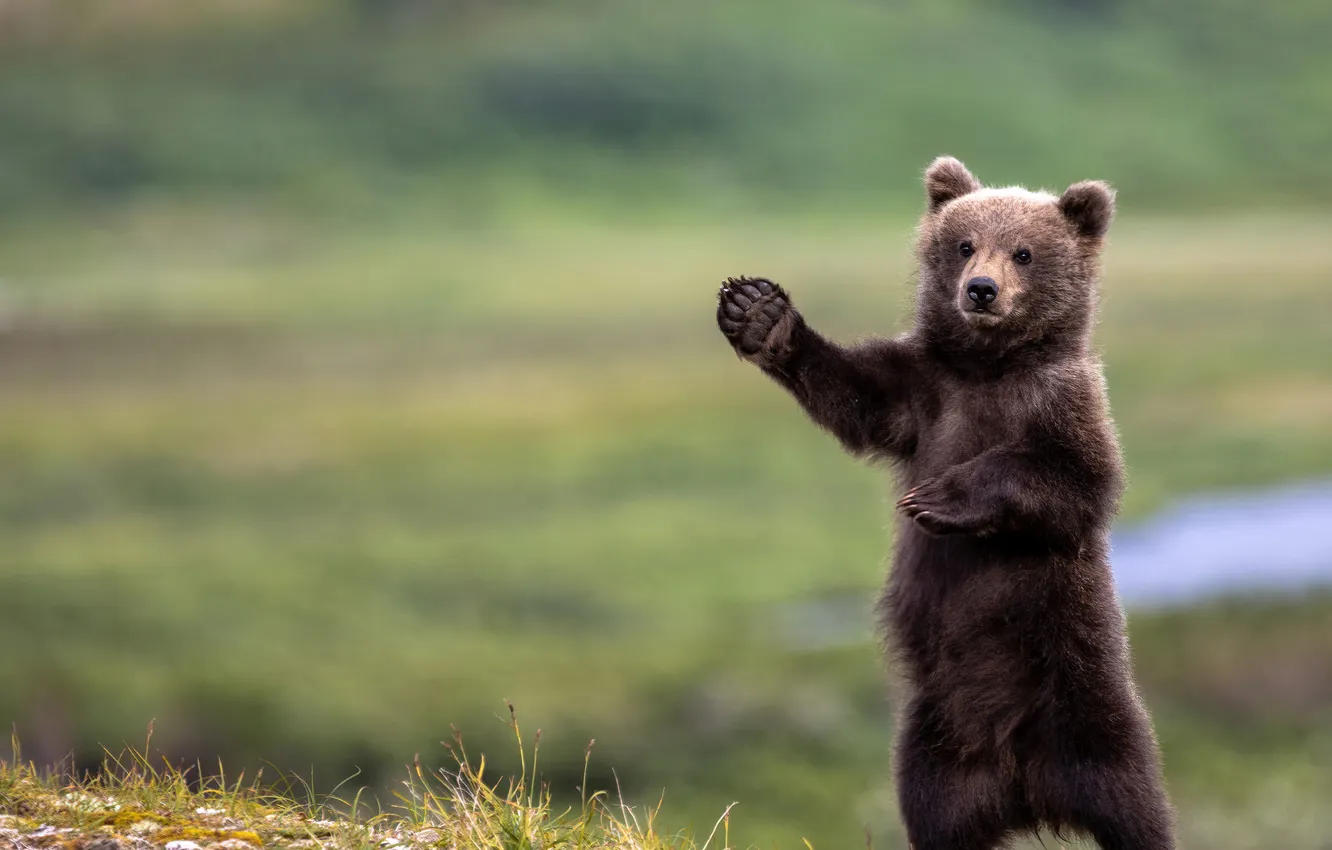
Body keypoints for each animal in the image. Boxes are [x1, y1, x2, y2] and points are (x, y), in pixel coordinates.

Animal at [714, 156, 1175, 850]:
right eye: (963, 244)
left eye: (1024, 252)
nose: (981, 289)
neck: (989, 368)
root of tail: (1026, 788)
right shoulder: (924, 393)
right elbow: (857, 396)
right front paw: (757, 312)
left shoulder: (1066, 404)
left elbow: (1077, 485)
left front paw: (939, 500)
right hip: (932, 744)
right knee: (936, 814)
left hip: (1090, 709)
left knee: (1134, 804)